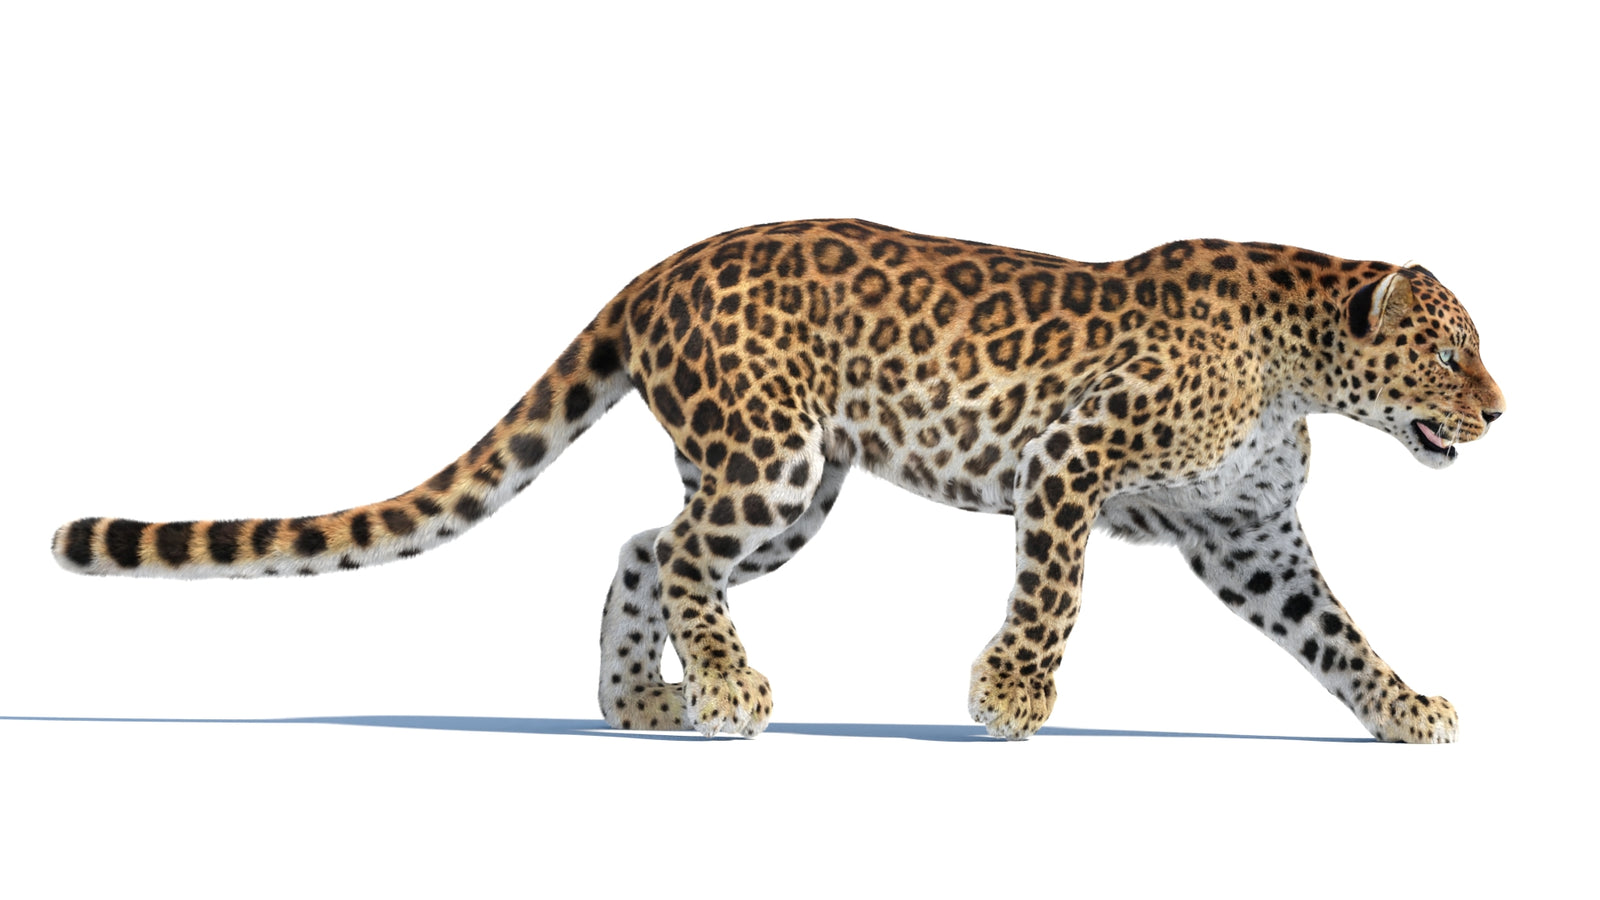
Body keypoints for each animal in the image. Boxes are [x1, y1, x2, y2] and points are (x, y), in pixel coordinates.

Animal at [53, 218, 1505, 743]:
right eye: (1449, 353)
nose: (1499, 412)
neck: (1302, 366)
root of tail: (660, 268)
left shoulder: (1248, 534)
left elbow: (1334, 631)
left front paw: (1405, 712)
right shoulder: (1070, 462)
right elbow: (1053, 597)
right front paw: (1008, 700)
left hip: (793, 488)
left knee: (644, 546)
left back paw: (643, 702)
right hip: (773, 461)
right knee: (682, 552)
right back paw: (731, 695)